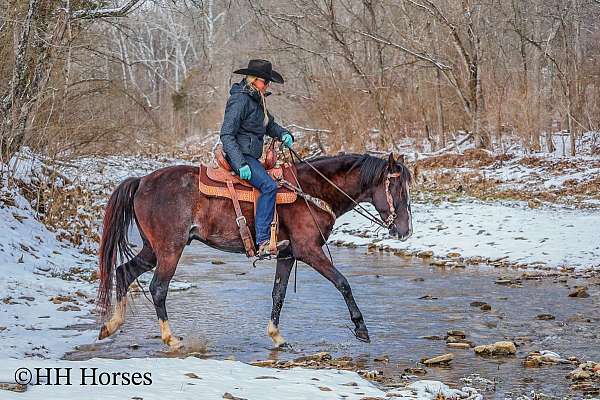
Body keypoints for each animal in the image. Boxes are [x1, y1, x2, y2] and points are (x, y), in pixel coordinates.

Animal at [97, 153, 412, 350]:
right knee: (158, 288)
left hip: (153, 250)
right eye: (396, 187)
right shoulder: (309, 251)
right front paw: (361, 329)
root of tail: (141, 181)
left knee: (123, 273)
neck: (312, 192)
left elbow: (278, 293)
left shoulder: (288, 255)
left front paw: (277, 336)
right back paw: (170, 339)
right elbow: (343, 283)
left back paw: (111, 325)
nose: (405, 230)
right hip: (169, 250)